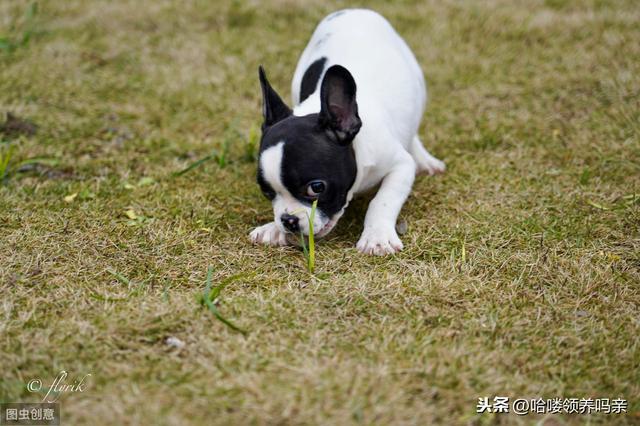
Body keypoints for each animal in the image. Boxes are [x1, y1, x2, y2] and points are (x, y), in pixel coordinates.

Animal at [250, 9, 444, 256]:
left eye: (316, 188)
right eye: (266, 191)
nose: (288, 220)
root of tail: (353, 10)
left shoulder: (400, 166)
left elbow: (383, 201)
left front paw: (376, 237)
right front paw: (273, 228)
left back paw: (425, 160)